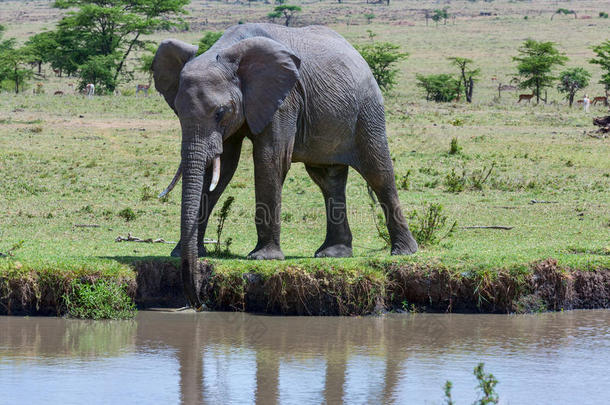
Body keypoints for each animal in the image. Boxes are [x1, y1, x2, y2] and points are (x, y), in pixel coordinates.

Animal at [153, 22, 418, 306]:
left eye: (220, 112)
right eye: (178, 111)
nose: (199, 301)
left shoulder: (284, 98)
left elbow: (270, 158)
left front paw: (263, 258)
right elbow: (223, 167)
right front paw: (182, 252)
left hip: (368, 110)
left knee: (378, 172)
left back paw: (403, 252)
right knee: (328, 180)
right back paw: (333, 254)